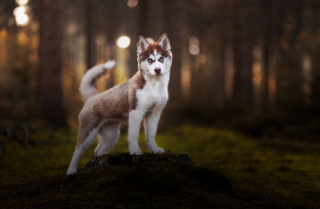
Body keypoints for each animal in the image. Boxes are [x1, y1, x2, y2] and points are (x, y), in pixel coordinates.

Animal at [67, 33, 172, 175]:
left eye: (161, 58)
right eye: (150, 60)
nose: (157, 69)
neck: (154, 86)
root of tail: (92, 96)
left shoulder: (155, 113)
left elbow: (151, 134)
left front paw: (155, 150)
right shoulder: (136, 112)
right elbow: (133, 134)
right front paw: (135, 151)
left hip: (111, 136)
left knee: (97, 150)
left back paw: (101, 161)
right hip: (89, 130)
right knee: (78, 149)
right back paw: (71, 170)